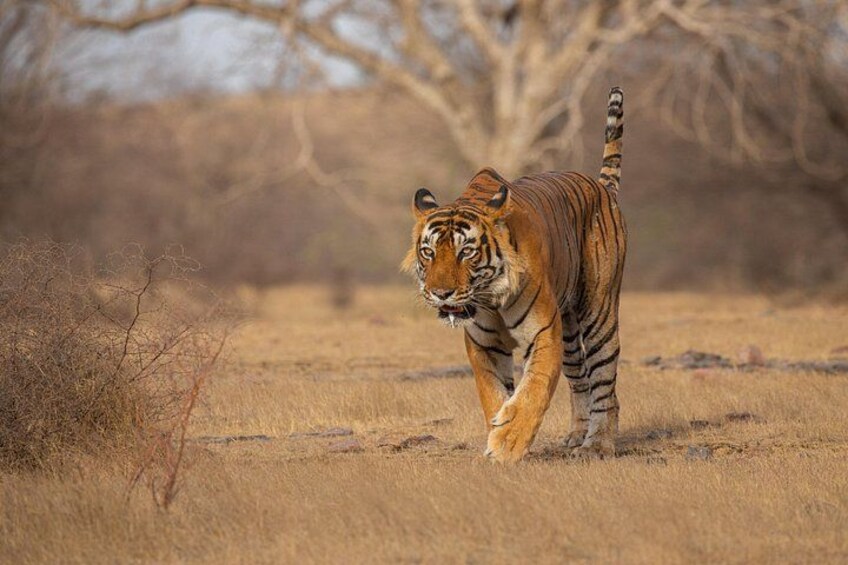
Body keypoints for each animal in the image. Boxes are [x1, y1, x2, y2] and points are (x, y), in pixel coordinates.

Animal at [402, 87, 627, 462]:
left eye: (466, 252)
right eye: (429, 252)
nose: (441, 293)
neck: (488, 298)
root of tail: (600, 186)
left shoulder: (544, 331)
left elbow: (533, 388)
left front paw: (507, 443)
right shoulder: (483, 342)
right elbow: (494, 394)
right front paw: (498, 429)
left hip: (599, 311)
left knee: (604, 380)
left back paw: (598, 444)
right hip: (569, 328)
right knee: (580, 378)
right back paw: (576, 436)